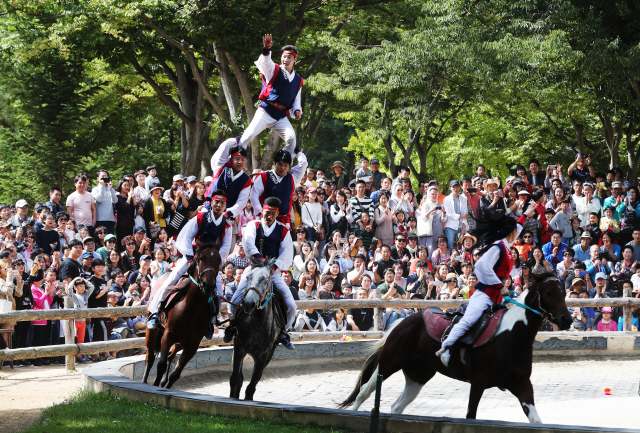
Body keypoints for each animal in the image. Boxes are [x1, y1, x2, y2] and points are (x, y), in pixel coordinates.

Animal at [142, 240, 222, 388]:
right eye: (200, 258)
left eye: (219, 260)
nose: (208, 285)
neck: (192, 308)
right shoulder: (167, 336)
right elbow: (160, 365)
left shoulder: (192, 345)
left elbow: (175, 374)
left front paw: (165, 385)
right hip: (153, 330)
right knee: (150, 357)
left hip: (180, 342)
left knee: (170, 356)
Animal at [228, 258, 282, 400]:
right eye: (248, 277)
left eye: (265, 280)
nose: (248, 303)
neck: (257, 324)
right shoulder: (239, 346)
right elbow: (235, 379)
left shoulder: (264, 355)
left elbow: (252, 385)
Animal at [338, 274, 572, 422]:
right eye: (549, 293)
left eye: (563, 292)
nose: (567, 319)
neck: (510, 335)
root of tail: (404, 322)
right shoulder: (478, 381)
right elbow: (470, 416)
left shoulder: (522, 385)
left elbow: (536, 421)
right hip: (388, 363)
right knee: (363, 393)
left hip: (418, 375)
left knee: (397, 407)